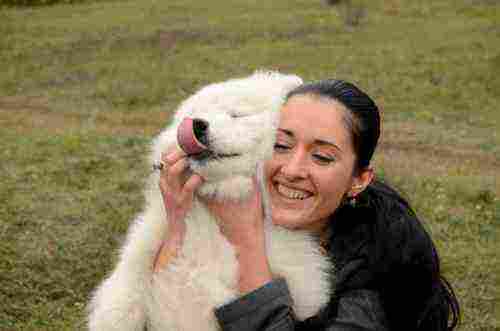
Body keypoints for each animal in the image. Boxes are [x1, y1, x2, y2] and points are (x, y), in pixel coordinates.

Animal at [89, 71, 332, 330]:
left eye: (237, 114)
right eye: (194, 114)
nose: (197, 124)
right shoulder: (155, 232)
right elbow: (129, 275)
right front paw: (116, 315)